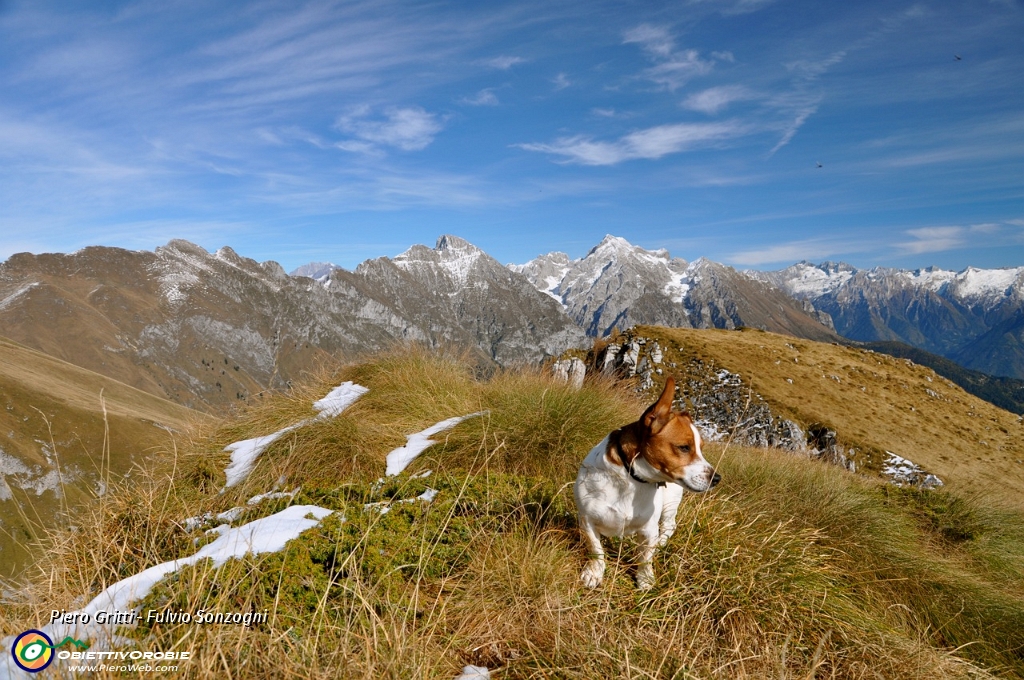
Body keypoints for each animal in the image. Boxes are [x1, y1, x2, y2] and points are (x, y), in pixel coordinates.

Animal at [577, 376, 720, 589]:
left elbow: (645, 557)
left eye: (701, 448)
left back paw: (661, 543)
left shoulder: (649, 530)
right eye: (684, 447)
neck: (631, 480)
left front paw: (645, 579)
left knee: (669, 526)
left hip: (670, 503)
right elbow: (596, 550)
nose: (717, 478)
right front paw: (595, 572)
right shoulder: (586, 520)